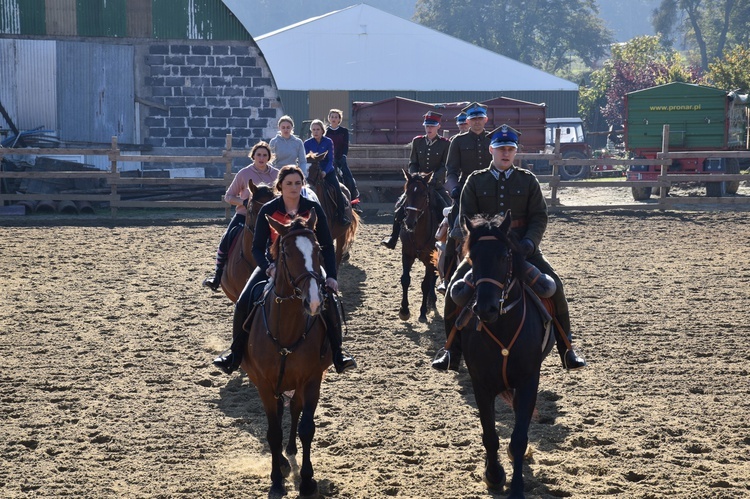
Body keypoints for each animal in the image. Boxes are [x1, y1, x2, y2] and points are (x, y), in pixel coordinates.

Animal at [244, 213, 332, 498]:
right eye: (288, 253)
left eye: (318, 250)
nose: (314, 302)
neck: (287, 328)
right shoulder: (264, 384)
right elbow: (273, 432)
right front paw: (275, 480)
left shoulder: (312, 379)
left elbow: (306, 427)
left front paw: (306, 480)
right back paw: (282, 461)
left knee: (294, 409)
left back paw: (290, 449)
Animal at [400, 170, 440, 322]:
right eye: (407, 193)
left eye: (424, 195)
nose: (410, 222)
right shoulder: (407, 255)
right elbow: (405, 280)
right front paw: (404, 310)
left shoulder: (430, 260)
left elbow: (425, 285)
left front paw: (422, 312)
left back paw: (431, 301)